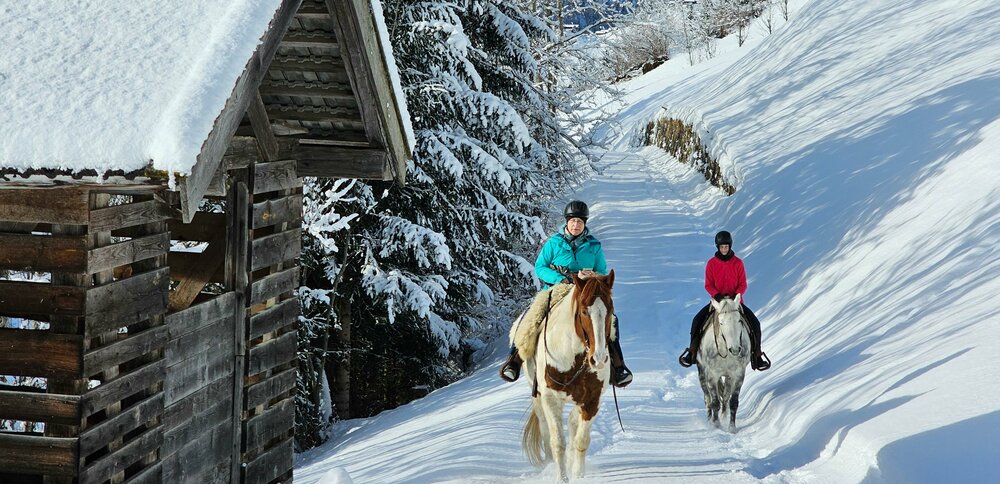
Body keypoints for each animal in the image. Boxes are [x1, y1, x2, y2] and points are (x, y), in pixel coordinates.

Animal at [521, 271, 615, 482]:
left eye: (610, 310)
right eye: (584, 312)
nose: (599, 359)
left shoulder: (592, 400)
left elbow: (581, 440)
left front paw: (579, 476)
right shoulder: (550, 399)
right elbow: (557, 443)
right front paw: (562, 479)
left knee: (573, 422)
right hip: (537, 397)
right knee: (546, 432)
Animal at [696, 294, 751, 433]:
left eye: (739, 320)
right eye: (721, 323)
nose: (735, 349)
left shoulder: (738, 375)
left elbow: (733, 402)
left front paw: (732, 428)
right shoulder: (712, 375)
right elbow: (715, 401)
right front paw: (716, 425)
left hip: (728, 376)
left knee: (725, 397)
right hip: (702, 372)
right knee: (707, 398)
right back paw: (709, 420)